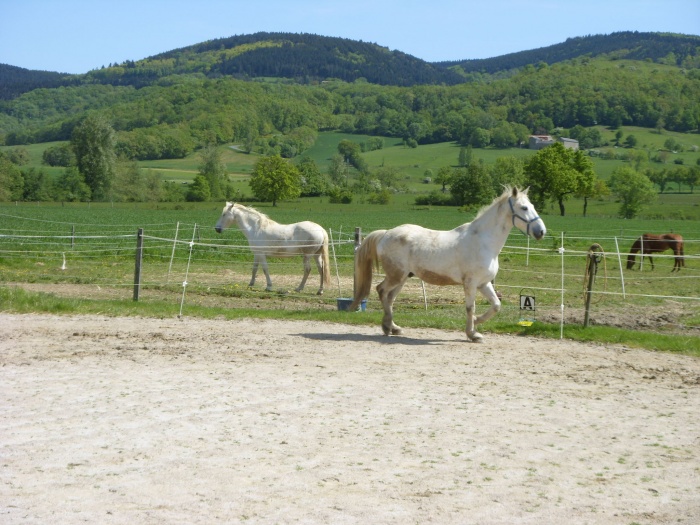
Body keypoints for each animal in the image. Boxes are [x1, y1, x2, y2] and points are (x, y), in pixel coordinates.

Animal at [350, 186, 548, 342]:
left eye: (532, 206)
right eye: (524, 207)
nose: (541, 232)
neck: (483, 241)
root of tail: (385, 234)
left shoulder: (483, 283)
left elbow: (496, 306)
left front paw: (476, 323)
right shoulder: (470, 283)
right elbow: (470, 307)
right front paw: (472, 334)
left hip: (403, 278)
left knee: (389, 297)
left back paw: (393, 328)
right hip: (396, 275)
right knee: (381, 290)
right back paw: (387, 327)